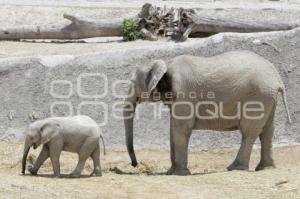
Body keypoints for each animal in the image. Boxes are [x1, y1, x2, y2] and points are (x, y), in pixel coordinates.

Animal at [122, 50, 290, 176]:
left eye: (132, 83)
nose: (135, 164)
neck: (166, 64)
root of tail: (278, 79)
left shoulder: (185, 93)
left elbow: (181, 128)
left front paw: (179, 174)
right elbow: (173, 129)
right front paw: (171, 172)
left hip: (258, 97)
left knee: (249, 132)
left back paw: (235, 168)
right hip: (268, 98)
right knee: (267, 131)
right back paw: (265, 168)